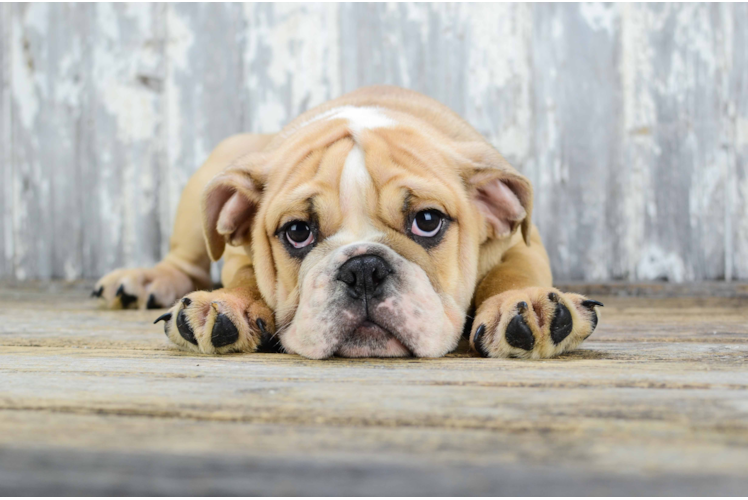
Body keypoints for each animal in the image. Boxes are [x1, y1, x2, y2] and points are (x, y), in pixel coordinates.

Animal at [93, 86, 600, 360]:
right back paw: (147, 279)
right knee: (185, 259)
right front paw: (227, 305)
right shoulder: (239, 250)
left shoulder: (520, 242)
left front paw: (527, 305)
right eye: (298, 232)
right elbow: (247, 276)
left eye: (428, 221)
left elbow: (512, 272)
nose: (363, 269)